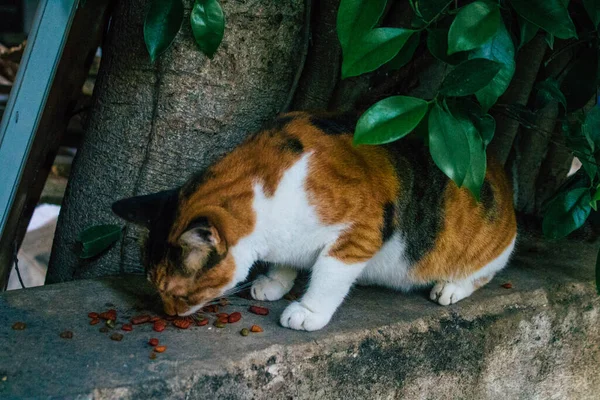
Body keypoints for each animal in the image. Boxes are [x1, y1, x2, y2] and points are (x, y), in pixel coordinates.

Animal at [112, 110, 516, 332]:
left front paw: (307, 311)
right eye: (154, 287)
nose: (166, 312)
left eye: (178, 294)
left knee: (485, 271)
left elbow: (328, 274)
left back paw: (450, 288)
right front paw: (274, 282)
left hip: (485, 249)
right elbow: (284, 260)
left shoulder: (359, 233)